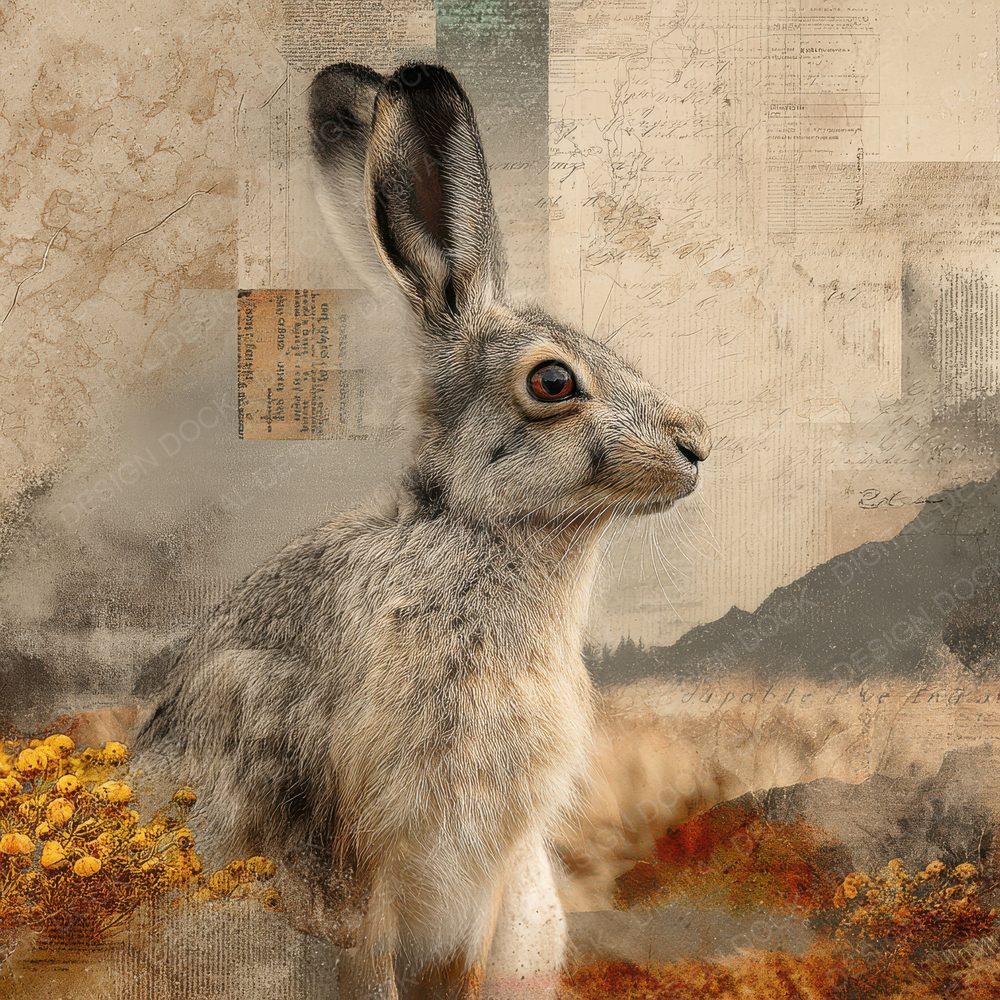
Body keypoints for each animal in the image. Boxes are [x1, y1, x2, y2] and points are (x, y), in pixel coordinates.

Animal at [135, 62, 711, 999]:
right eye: (553, 382)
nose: (697, 445)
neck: (475, 533)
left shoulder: (491, 871)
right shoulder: (357, 859)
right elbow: (366, 957)